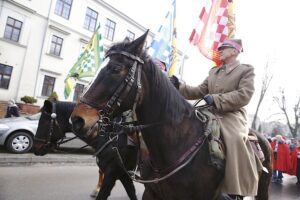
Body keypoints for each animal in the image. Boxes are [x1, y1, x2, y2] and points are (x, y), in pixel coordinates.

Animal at [69, 31, 272, 200]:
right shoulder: (149, 192)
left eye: (116, 68)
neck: (176, 144)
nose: (78, 119)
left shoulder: (114, 171)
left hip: (261, 187)